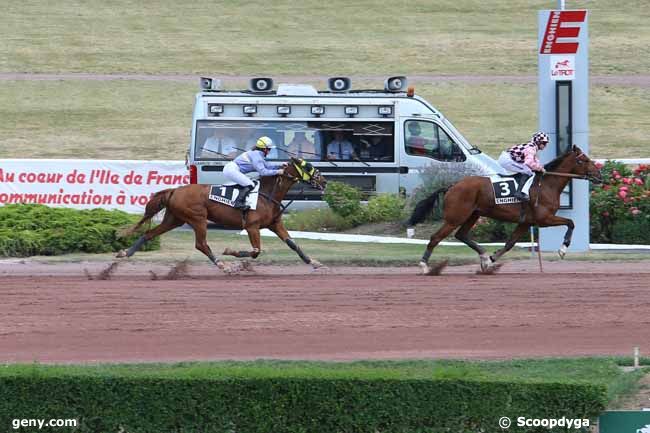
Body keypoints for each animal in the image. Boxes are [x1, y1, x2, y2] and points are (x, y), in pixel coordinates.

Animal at [117, 157, 326, 272]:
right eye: (307, 167)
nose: (323, 181)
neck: (267, 194)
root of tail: (175, 190)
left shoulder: (274, 224)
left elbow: (293, 244)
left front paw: (314, 262)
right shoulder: (252, 227)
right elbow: (256, 251)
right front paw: (230, 252)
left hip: (174, 219)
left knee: (149, 233)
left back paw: (125, 252)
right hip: (198, 219)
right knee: (201, 244)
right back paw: (222, 265)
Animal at [408, 145, 600, 274]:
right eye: (585, 160)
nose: (599, 175)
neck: (546, 184)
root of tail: (452, 186)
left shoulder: (526, 222)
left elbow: (510, 243)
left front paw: (491, 261)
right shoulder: (543, 218)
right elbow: (571, 222)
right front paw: (562, 249)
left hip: (473, 215)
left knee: (461, 235)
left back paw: (483, 256)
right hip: (455, 217)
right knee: (436, 237)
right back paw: (425, 266)